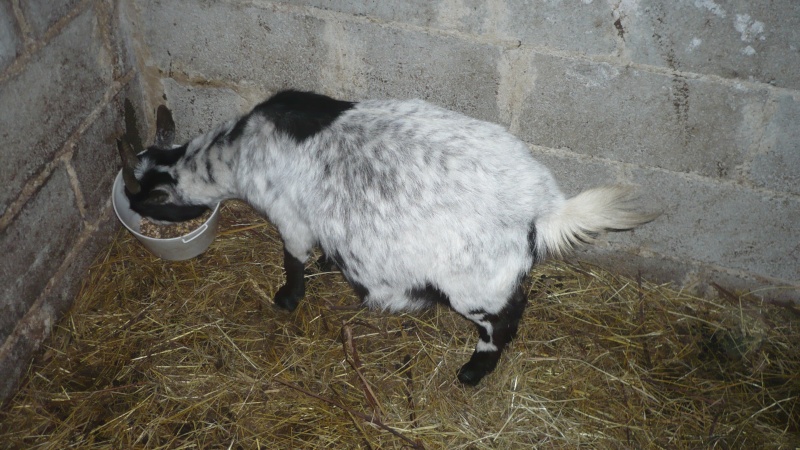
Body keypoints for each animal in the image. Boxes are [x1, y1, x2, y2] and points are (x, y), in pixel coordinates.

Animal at [117, 89, 656, 384]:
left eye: (146, 198)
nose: (132, 208)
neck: (232, 155)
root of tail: (542, 208)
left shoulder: (290, 219)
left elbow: (293, 259)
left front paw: (287, 298)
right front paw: (326, 265)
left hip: (476, 285)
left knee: (503, 322)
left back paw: (473, 372)